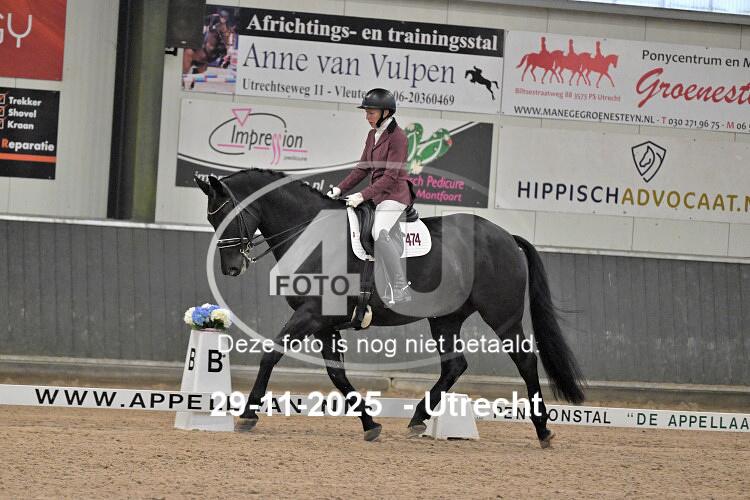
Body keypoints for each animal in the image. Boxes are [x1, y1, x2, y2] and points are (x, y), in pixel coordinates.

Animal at [194, 168, 585, 447]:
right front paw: (370, 424)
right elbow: (337, 376)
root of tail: (506, 237)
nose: (232, 268)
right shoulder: (324, 323)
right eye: (212, 220)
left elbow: (270, 355)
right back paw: (417, 420)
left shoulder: (311, 316)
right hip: (445, 318)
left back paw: (543, 430)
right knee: (454, 365)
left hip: (502, 317)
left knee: (525, 361)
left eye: (227, 216)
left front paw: (248, 415)